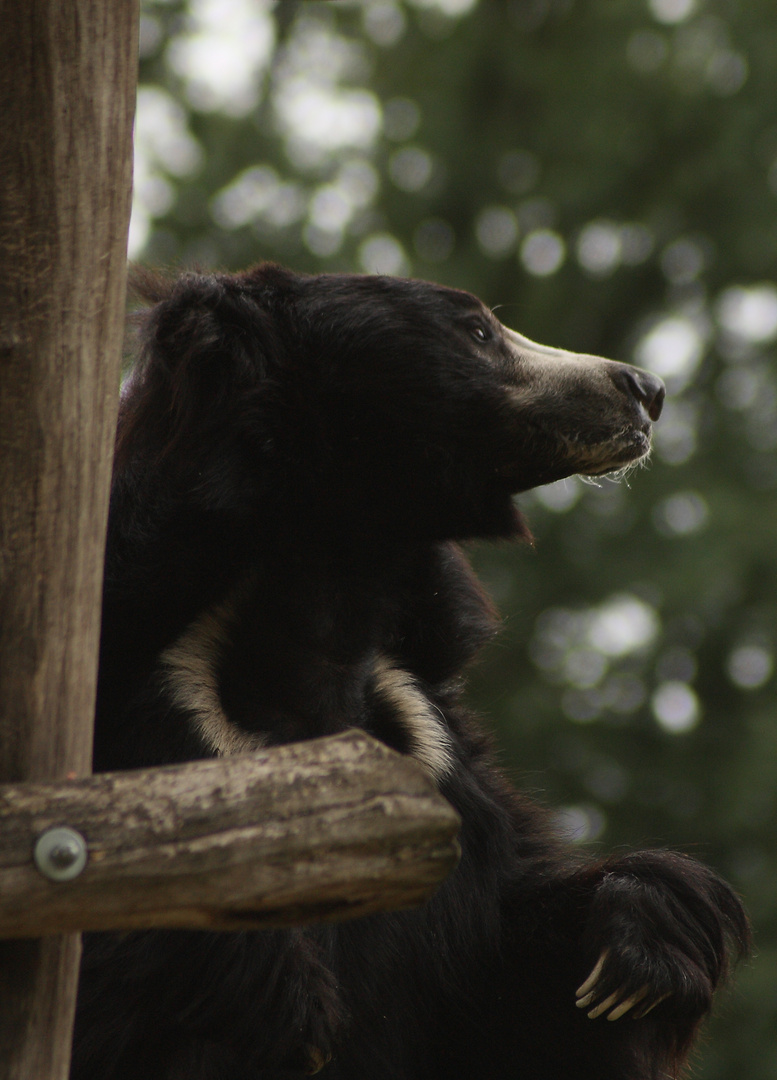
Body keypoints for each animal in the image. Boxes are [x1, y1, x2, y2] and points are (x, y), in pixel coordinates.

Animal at [71, 265, 747, 1080]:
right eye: (478, 331)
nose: (646, 388)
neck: (325, 617)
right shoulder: (152, 728)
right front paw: (284, 1003)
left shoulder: (443, 768)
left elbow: (516, 984)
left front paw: (637, 952)